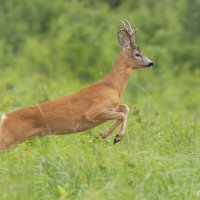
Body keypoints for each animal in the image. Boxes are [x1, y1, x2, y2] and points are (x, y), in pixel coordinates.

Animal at [0, 20, 153, 151]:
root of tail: (5, 118)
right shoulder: (94, 111)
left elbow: (125, 108)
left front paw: (104, 135)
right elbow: (121, 114)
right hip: (10, 137)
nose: (151, 63)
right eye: (137, 54)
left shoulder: (112, 106)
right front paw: (114, 137)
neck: (113, 86)